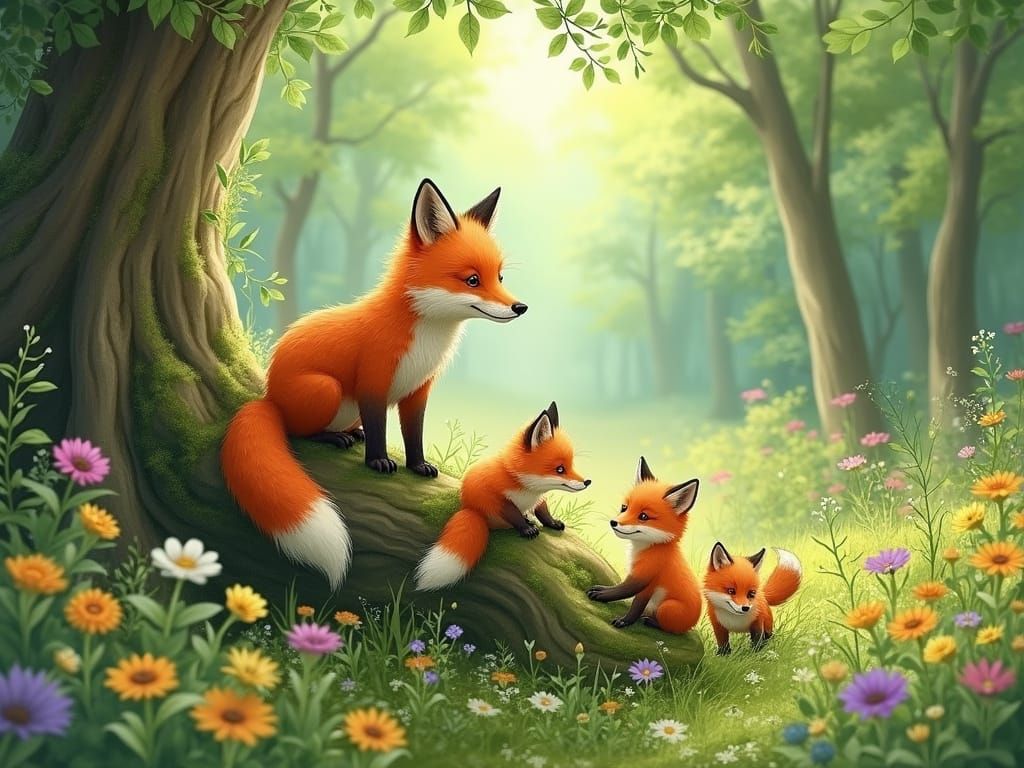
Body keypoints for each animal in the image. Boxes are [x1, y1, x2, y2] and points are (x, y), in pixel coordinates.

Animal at [221, 179, 527, 589]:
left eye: (500, 277)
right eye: (473, 280)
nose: (520, 308)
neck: (425, 338)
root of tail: (268, 396)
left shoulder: (418, 391)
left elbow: (413, 433)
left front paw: (418, 465)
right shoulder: (373, 380)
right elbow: (382, 427)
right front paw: (379, 461)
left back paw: (352, 432)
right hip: (327, 389)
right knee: (298, 431)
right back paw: (334, 437)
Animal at [414, 402, 591, 591]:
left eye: (571, 465)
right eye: (560, 469)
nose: (587, 482)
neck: (526, 489)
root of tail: (469, 508)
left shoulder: (538, 499)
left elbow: (543, 511)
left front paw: (552, 523)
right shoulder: (498, 498)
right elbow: (514, 514)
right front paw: (526, 528)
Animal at [586, 457, 702, 634]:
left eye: (644, 516)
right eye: (624, 507)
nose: (613, 522)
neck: (645, 549)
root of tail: (694, 622)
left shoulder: (646, 579)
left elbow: (630, 599)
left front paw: (624, 620)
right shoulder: (635, 574)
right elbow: (619, 588)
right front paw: (601, 589)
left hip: (667, 607)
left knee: (671, 629)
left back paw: (651, 622)